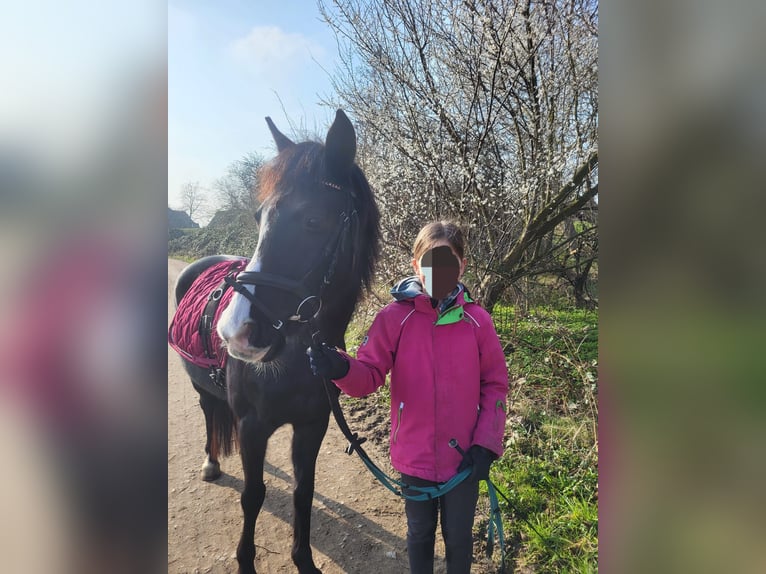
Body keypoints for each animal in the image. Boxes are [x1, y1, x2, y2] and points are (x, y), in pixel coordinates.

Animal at [172, 109, 380, 574]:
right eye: (259, 217)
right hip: (202, 389)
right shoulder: (252, 425)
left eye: (313, 220)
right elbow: (254, 496)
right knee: (209, 413)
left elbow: (304, 491)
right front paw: (246, 561)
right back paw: (211, 461)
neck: (298, 358)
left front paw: (304, 559)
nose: (235, 331)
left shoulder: (312, 425)